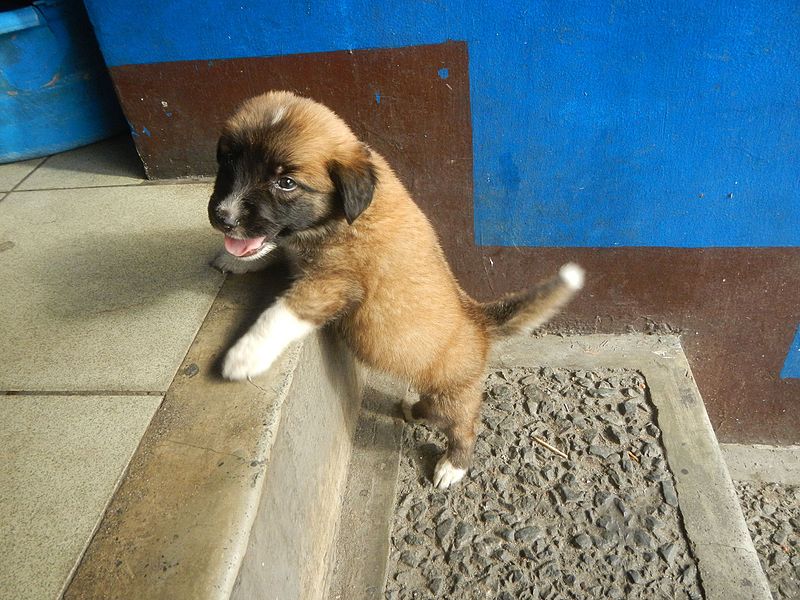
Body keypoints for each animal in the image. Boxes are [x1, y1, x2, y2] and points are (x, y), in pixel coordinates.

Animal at [206, 91, 580, 490]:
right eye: (228, 160)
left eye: (286, 183)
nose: (223, 216)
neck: (345, 215)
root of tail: (479, 320)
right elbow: (269, 251)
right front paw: (236, 261)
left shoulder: (333, 283)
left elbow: (280, 314)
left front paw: (245, 355)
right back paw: (414, 410)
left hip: (453, 396)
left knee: (464, 426)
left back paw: (453, 466)